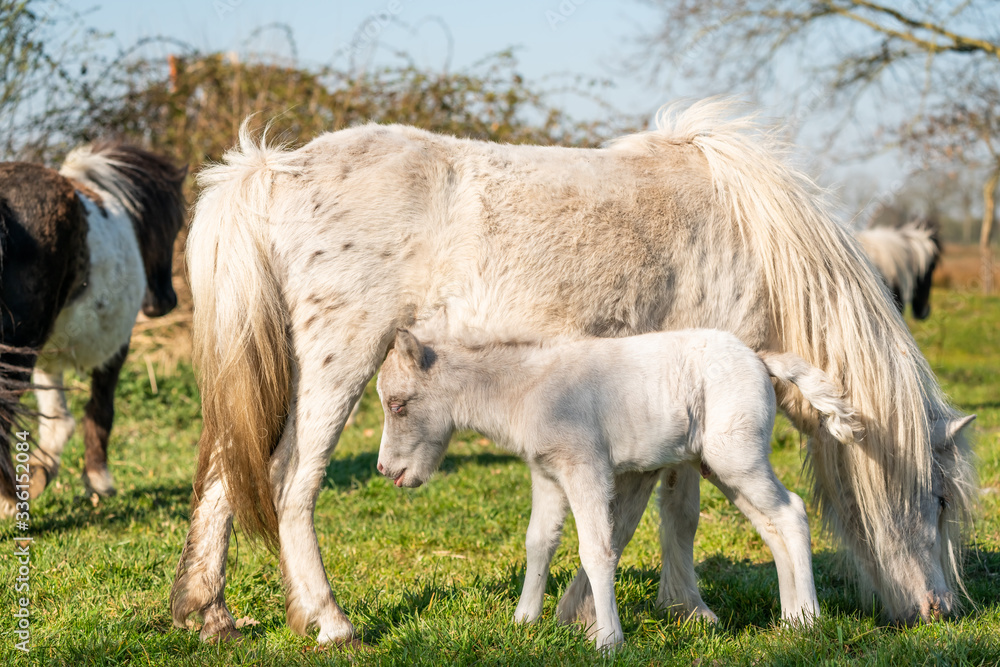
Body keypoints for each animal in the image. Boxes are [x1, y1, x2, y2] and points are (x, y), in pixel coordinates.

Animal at [0, 144, 186, 513]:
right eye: (175, 224)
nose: (164, 303)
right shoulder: (117, 345)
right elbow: (101, 409)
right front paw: (99, 480)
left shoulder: (47, 351)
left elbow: (57, 417)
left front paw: (41, 470)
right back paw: (11, 500)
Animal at [375, 328, 859, 648]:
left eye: (397, 404)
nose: (385, 469)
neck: (529, 389)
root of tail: (759, 358)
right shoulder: (547, 475)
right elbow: (539, 543)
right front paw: (523, 623)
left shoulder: (586, 469)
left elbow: (596, 549)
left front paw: (608, 641)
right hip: (721, 466)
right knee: (772, 526)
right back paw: (791, 619)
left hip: (737, 458)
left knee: (793, 513)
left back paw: (809, 621)